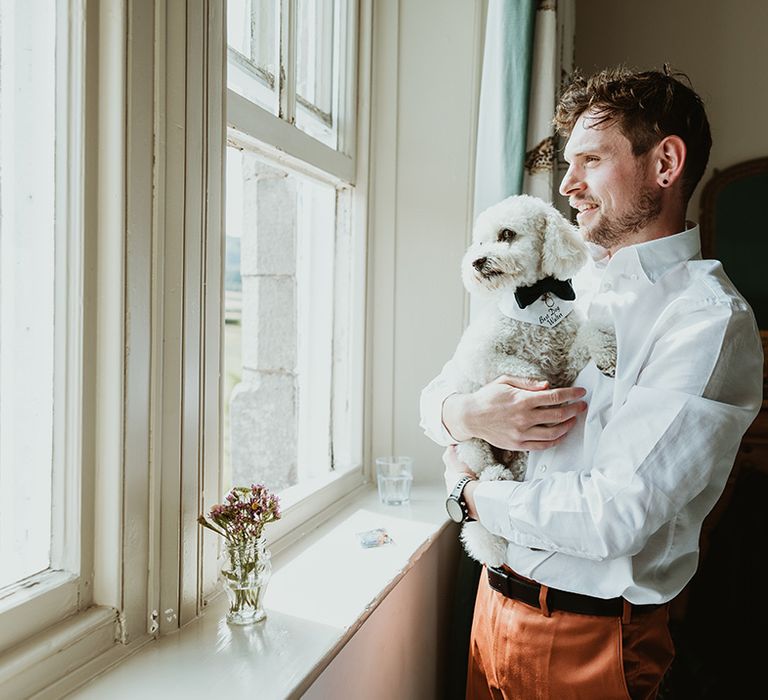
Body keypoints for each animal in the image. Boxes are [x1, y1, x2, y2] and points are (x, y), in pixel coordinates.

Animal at [450, 194, 616, 568]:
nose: (477, 261)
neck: (537, 298)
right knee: (483, 468)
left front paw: (607, 352)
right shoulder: (481, 357)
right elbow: (526, 369)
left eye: (507, 234)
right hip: (470, 441)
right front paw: (541, 395)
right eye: (480, 242)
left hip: (521, 457)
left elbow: (588, 334)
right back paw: (496, 475)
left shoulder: (567, 362)